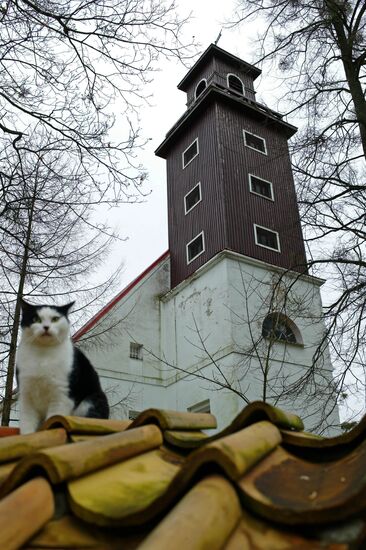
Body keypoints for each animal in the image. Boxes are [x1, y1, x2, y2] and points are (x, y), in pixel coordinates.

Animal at [16, 302, 108, 436]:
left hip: (92, 401)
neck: (43, 355)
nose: (46, 327)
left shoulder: (61, 396)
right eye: (35, 319)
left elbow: (53, 418)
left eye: (55, 319)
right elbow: (27, 424)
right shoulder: (26, 395)